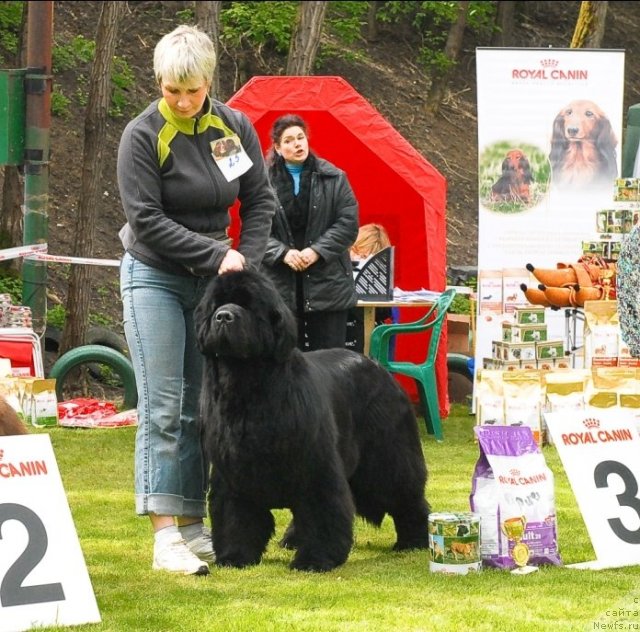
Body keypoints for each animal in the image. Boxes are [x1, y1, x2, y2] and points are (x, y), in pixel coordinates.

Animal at [192, 268, 428, 572]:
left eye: (248, 306)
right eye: (216, 305)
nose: (224, 316)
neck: (246, 386)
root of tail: (380, 369)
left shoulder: (316, 465)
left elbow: (321, 510)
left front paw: (315, 559)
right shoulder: (231, 472)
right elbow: (235, 515)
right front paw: (235, 556)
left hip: (387, 457)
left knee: (407, 496)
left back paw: (414, 540)